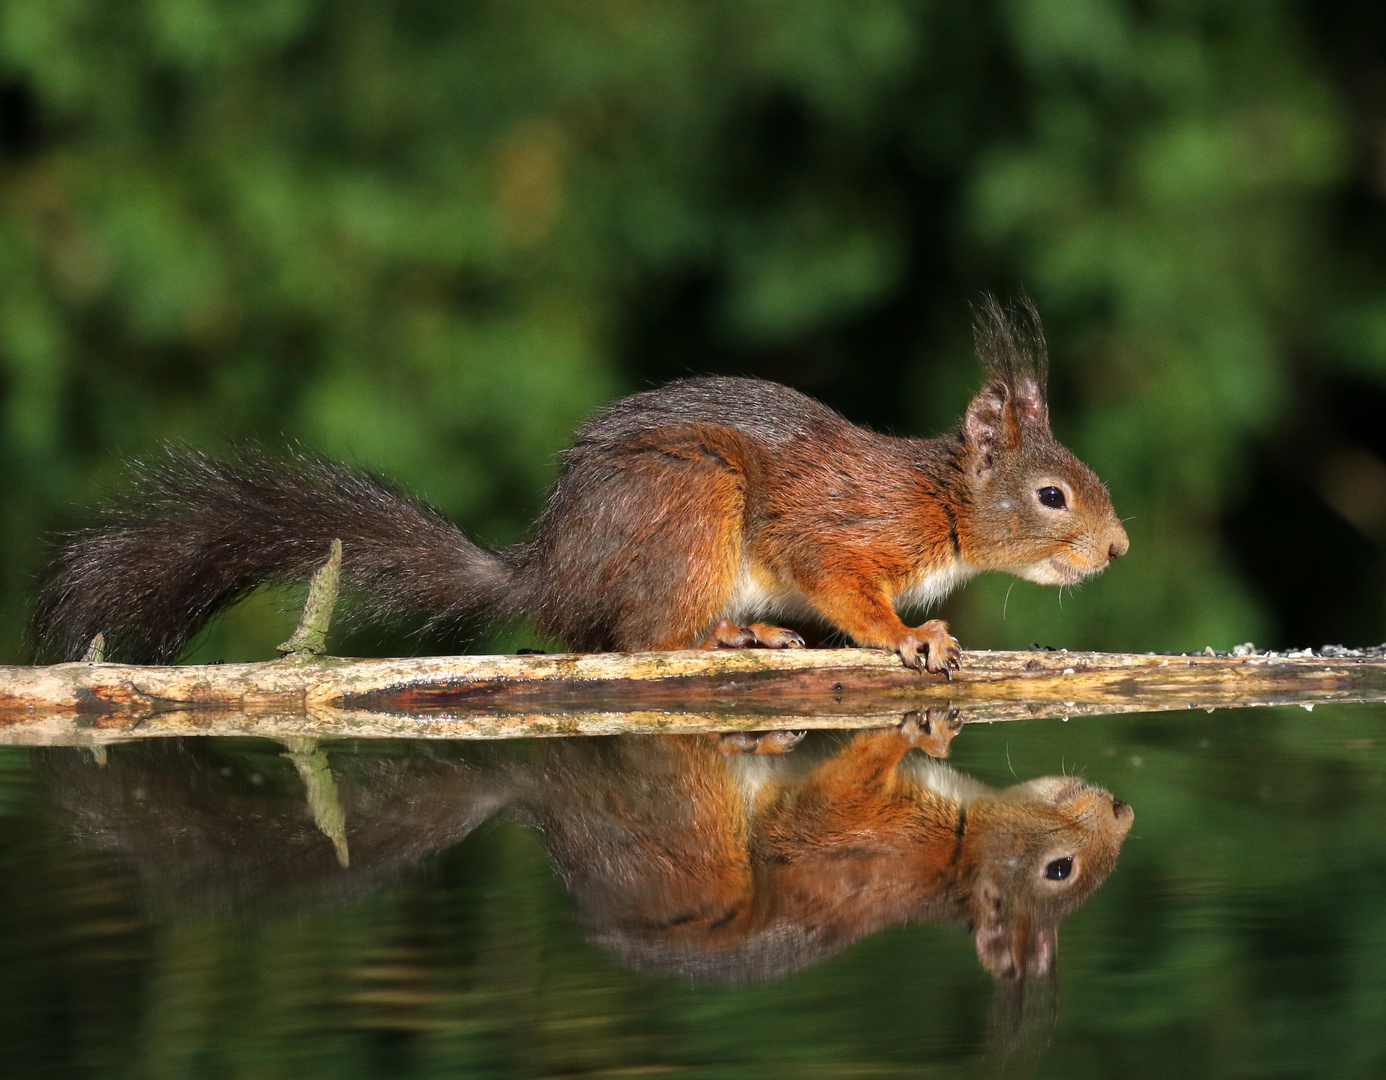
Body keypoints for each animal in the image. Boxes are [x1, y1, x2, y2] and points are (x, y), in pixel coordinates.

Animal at [29, 293, 1125, 668]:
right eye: (1054, 496)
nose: (1116, 549)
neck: (941, 503)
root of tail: (546, 573)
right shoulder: (844, 530)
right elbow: (845, 587)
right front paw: (913, 636)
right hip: (693, 507)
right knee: (637, 636)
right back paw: (729, 635)